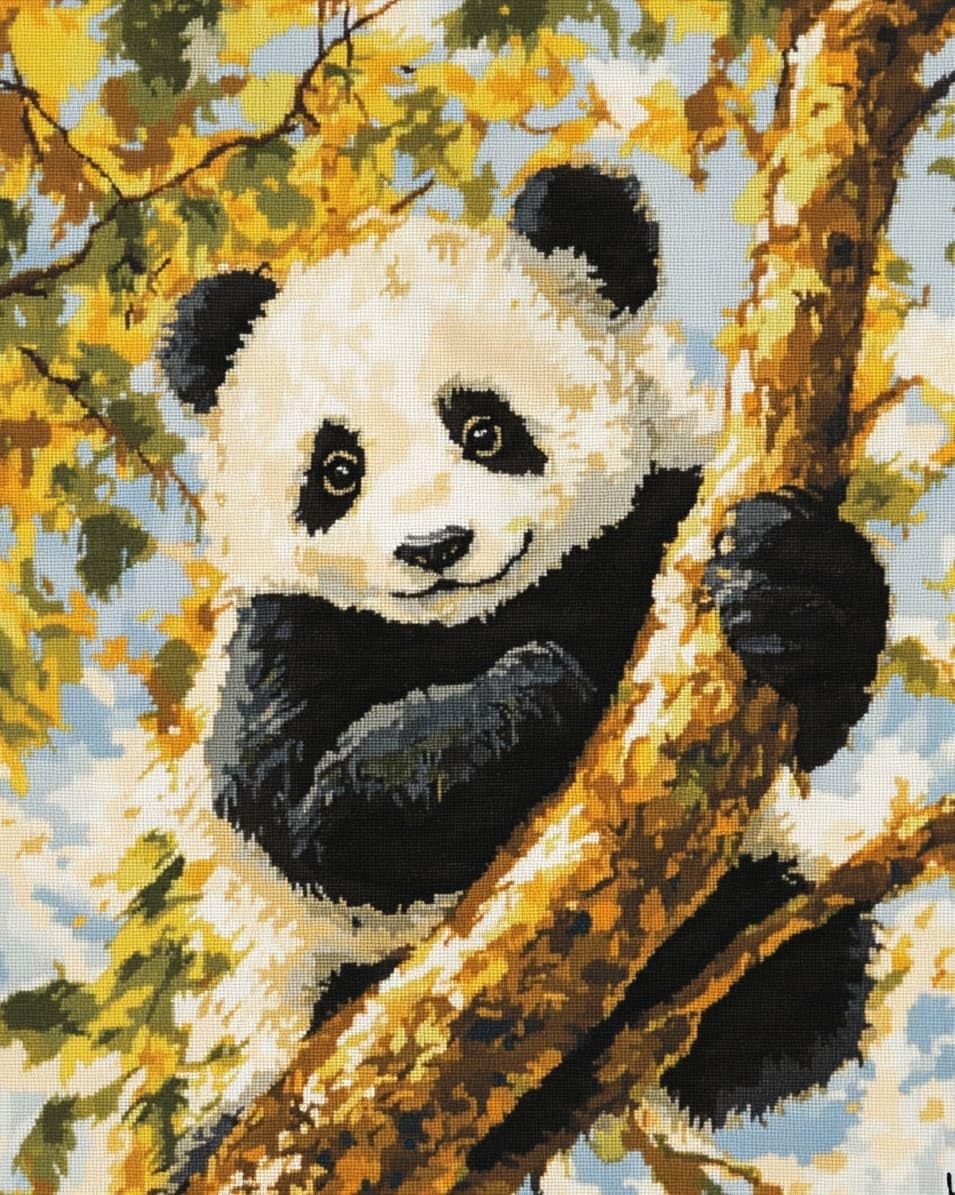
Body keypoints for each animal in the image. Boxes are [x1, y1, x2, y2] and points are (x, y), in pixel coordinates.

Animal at [159, 165, 889, 1168]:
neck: (479, 617)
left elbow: (796, 701)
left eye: (485, 429)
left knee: (798, 989)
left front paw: (789, 586)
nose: (433, 548)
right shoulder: (286, 637)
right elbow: (303, 813)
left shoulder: (650, 527)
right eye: (337, 468)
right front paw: (530, 697)